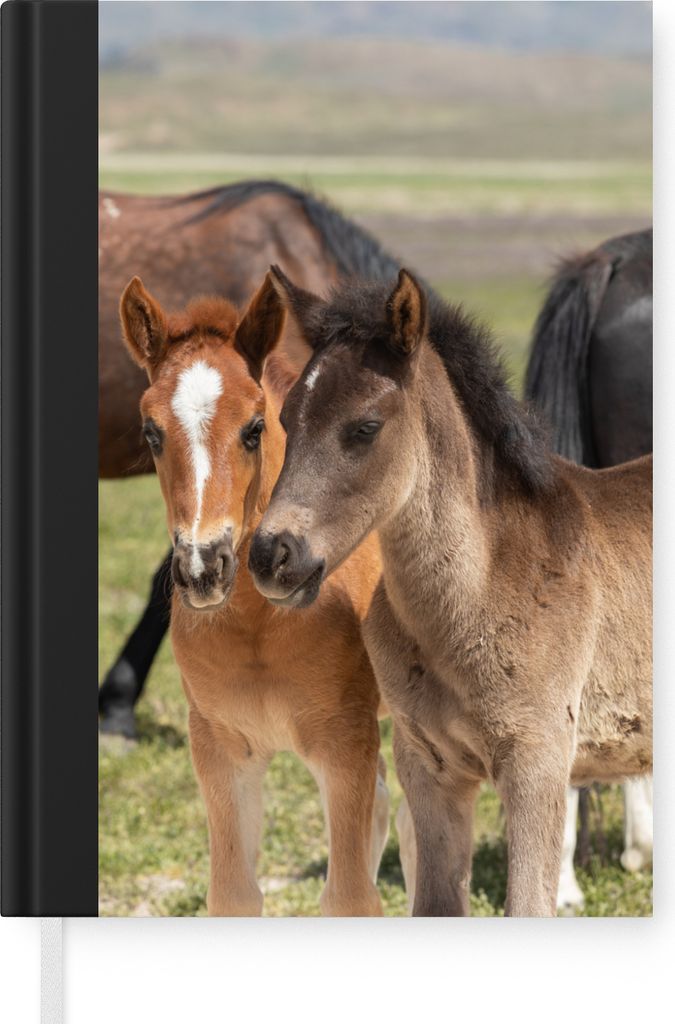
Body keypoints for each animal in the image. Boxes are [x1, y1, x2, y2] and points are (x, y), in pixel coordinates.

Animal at [117, 274, 390, 916]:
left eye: (254, 429)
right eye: (151, 432)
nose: (202, 566)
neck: (259, 623)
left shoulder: (346, 743)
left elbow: (351, 897)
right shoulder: (220, 749)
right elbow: (233, 893)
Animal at [248, 266, 652, 917]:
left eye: (365, 428)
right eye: (285, 422)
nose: (271, 555)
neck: (472, 599)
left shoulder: (538, 762)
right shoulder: (427, 767)